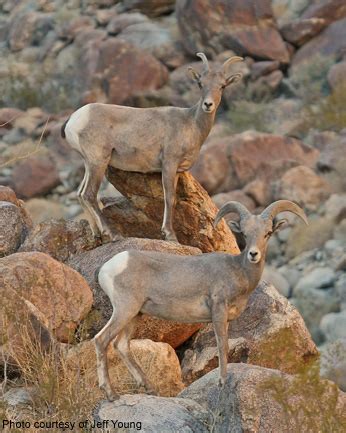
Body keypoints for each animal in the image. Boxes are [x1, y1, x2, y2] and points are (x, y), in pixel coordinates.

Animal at [60, 52, 242, 241]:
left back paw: (97, 235)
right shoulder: (169, 164)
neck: (191, 123)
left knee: (80, 194)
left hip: (89, 164)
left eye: (222, 86)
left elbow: (172, 199)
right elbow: (169, 198)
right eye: (201, 84)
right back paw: (114, 234)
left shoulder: (177, 171)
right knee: (89, 194)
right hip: (98, 162)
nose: (208, 105)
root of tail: (74, 119)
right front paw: (170, 235)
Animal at [93, 199, 306, 398]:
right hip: (125, 309)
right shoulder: (218, 311)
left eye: (267, 233)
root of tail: (107, 268)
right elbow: (222, 345)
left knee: (121, 345)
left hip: (135, 314)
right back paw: (111, 394)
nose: (254, 254)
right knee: (101, 340)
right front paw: (222, 381)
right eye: (244, 234)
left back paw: (150, 389)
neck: (238, 271)